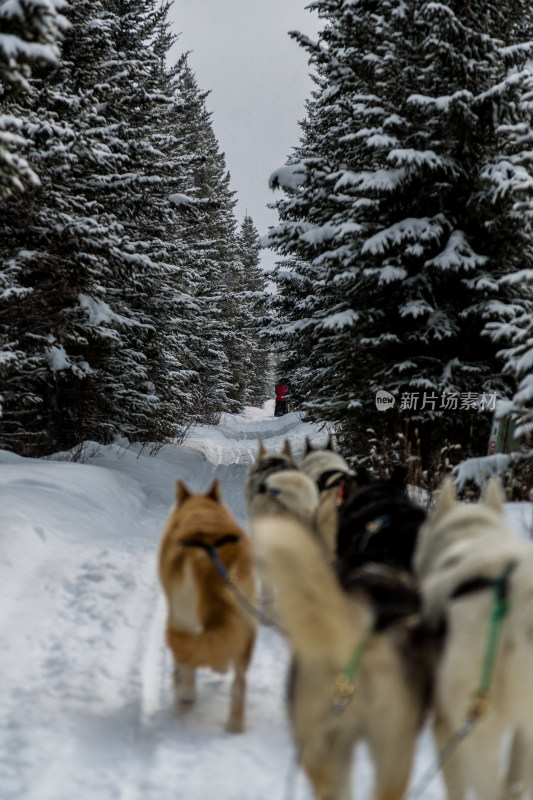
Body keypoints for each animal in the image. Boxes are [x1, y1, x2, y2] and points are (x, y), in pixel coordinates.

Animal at [157, 478, 256, 736]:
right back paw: (235, 725)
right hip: (248, 625)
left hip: (181, 619)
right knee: (240, 681)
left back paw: (186, 697)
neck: (201, 510)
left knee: (187, 659)